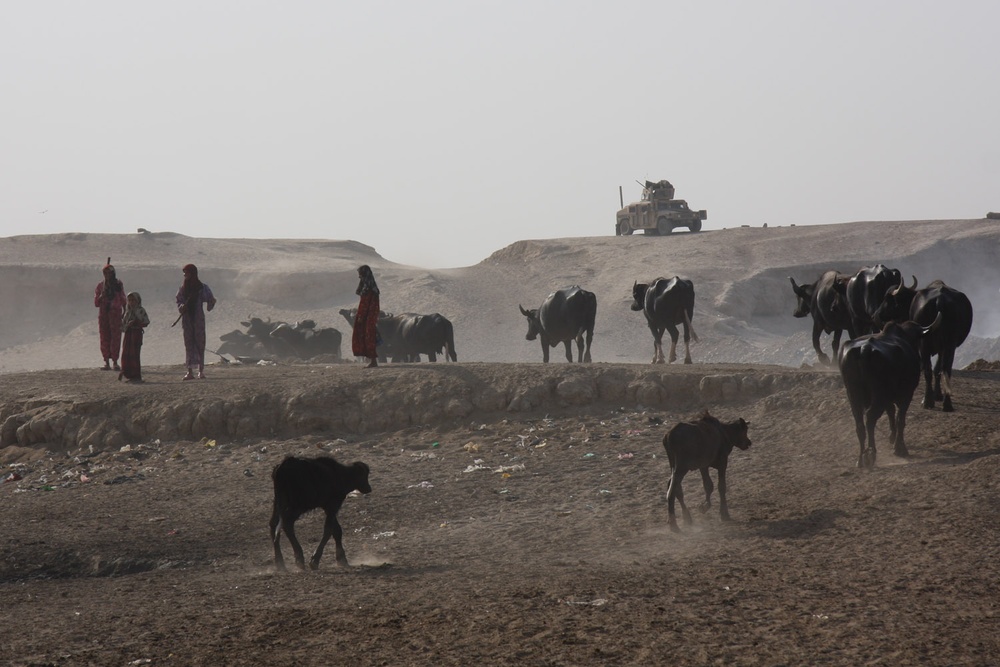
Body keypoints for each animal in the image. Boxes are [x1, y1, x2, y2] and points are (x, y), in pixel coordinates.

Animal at [840, 314, 940, 468]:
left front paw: (892, 437)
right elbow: (900, 418)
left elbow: (891, 412)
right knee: (870, 418)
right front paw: (900, 447)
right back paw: (871, 453)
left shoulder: (888, 398)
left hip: (853, 395)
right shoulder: (906, 395)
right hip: (878, 396)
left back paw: (861, 458)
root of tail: (865, 348)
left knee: (859, 423)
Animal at [872, 276, 972, 412]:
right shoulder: (942, 348)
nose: (875, 315)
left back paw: (927, 401)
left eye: (888, 299)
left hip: (925, 344)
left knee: (928, 370)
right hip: (950, 345)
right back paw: (947, 404)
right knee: (946, 370)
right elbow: (938, 369)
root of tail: (939, 300)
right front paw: (938, 395)